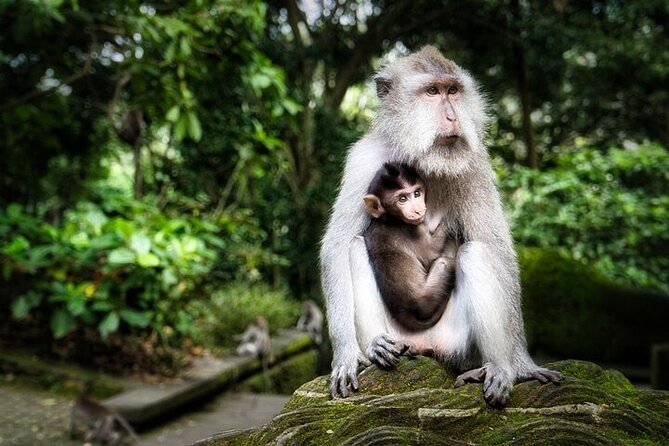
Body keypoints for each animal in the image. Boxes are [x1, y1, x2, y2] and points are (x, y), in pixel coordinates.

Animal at [362, 162, 456, 333]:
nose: (418, 210)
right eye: (402, 199)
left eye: (417, 193)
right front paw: (451, 220)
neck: (390, 218)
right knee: (444, 263)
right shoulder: (413, 230)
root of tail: (404, 310)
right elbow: (431, 253)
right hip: (428, 298)